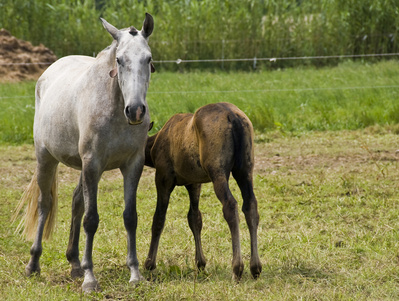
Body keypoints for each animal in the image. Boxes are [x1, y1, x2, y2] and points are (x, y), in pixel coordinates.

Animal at [14, 12, 155, 292]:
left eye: (148, 59)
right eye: (120, 60)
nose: (135, 110)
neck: (115, 110)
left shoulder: (133, 164)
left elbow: (130, 217)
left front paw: (134, 273)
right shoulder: (93, 164)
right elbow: (91, 219)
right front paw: (91, 279)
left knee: (76, 203)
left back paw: (75, 263)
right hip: (46, 159)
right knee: (45, 204)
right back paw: (34, 264)